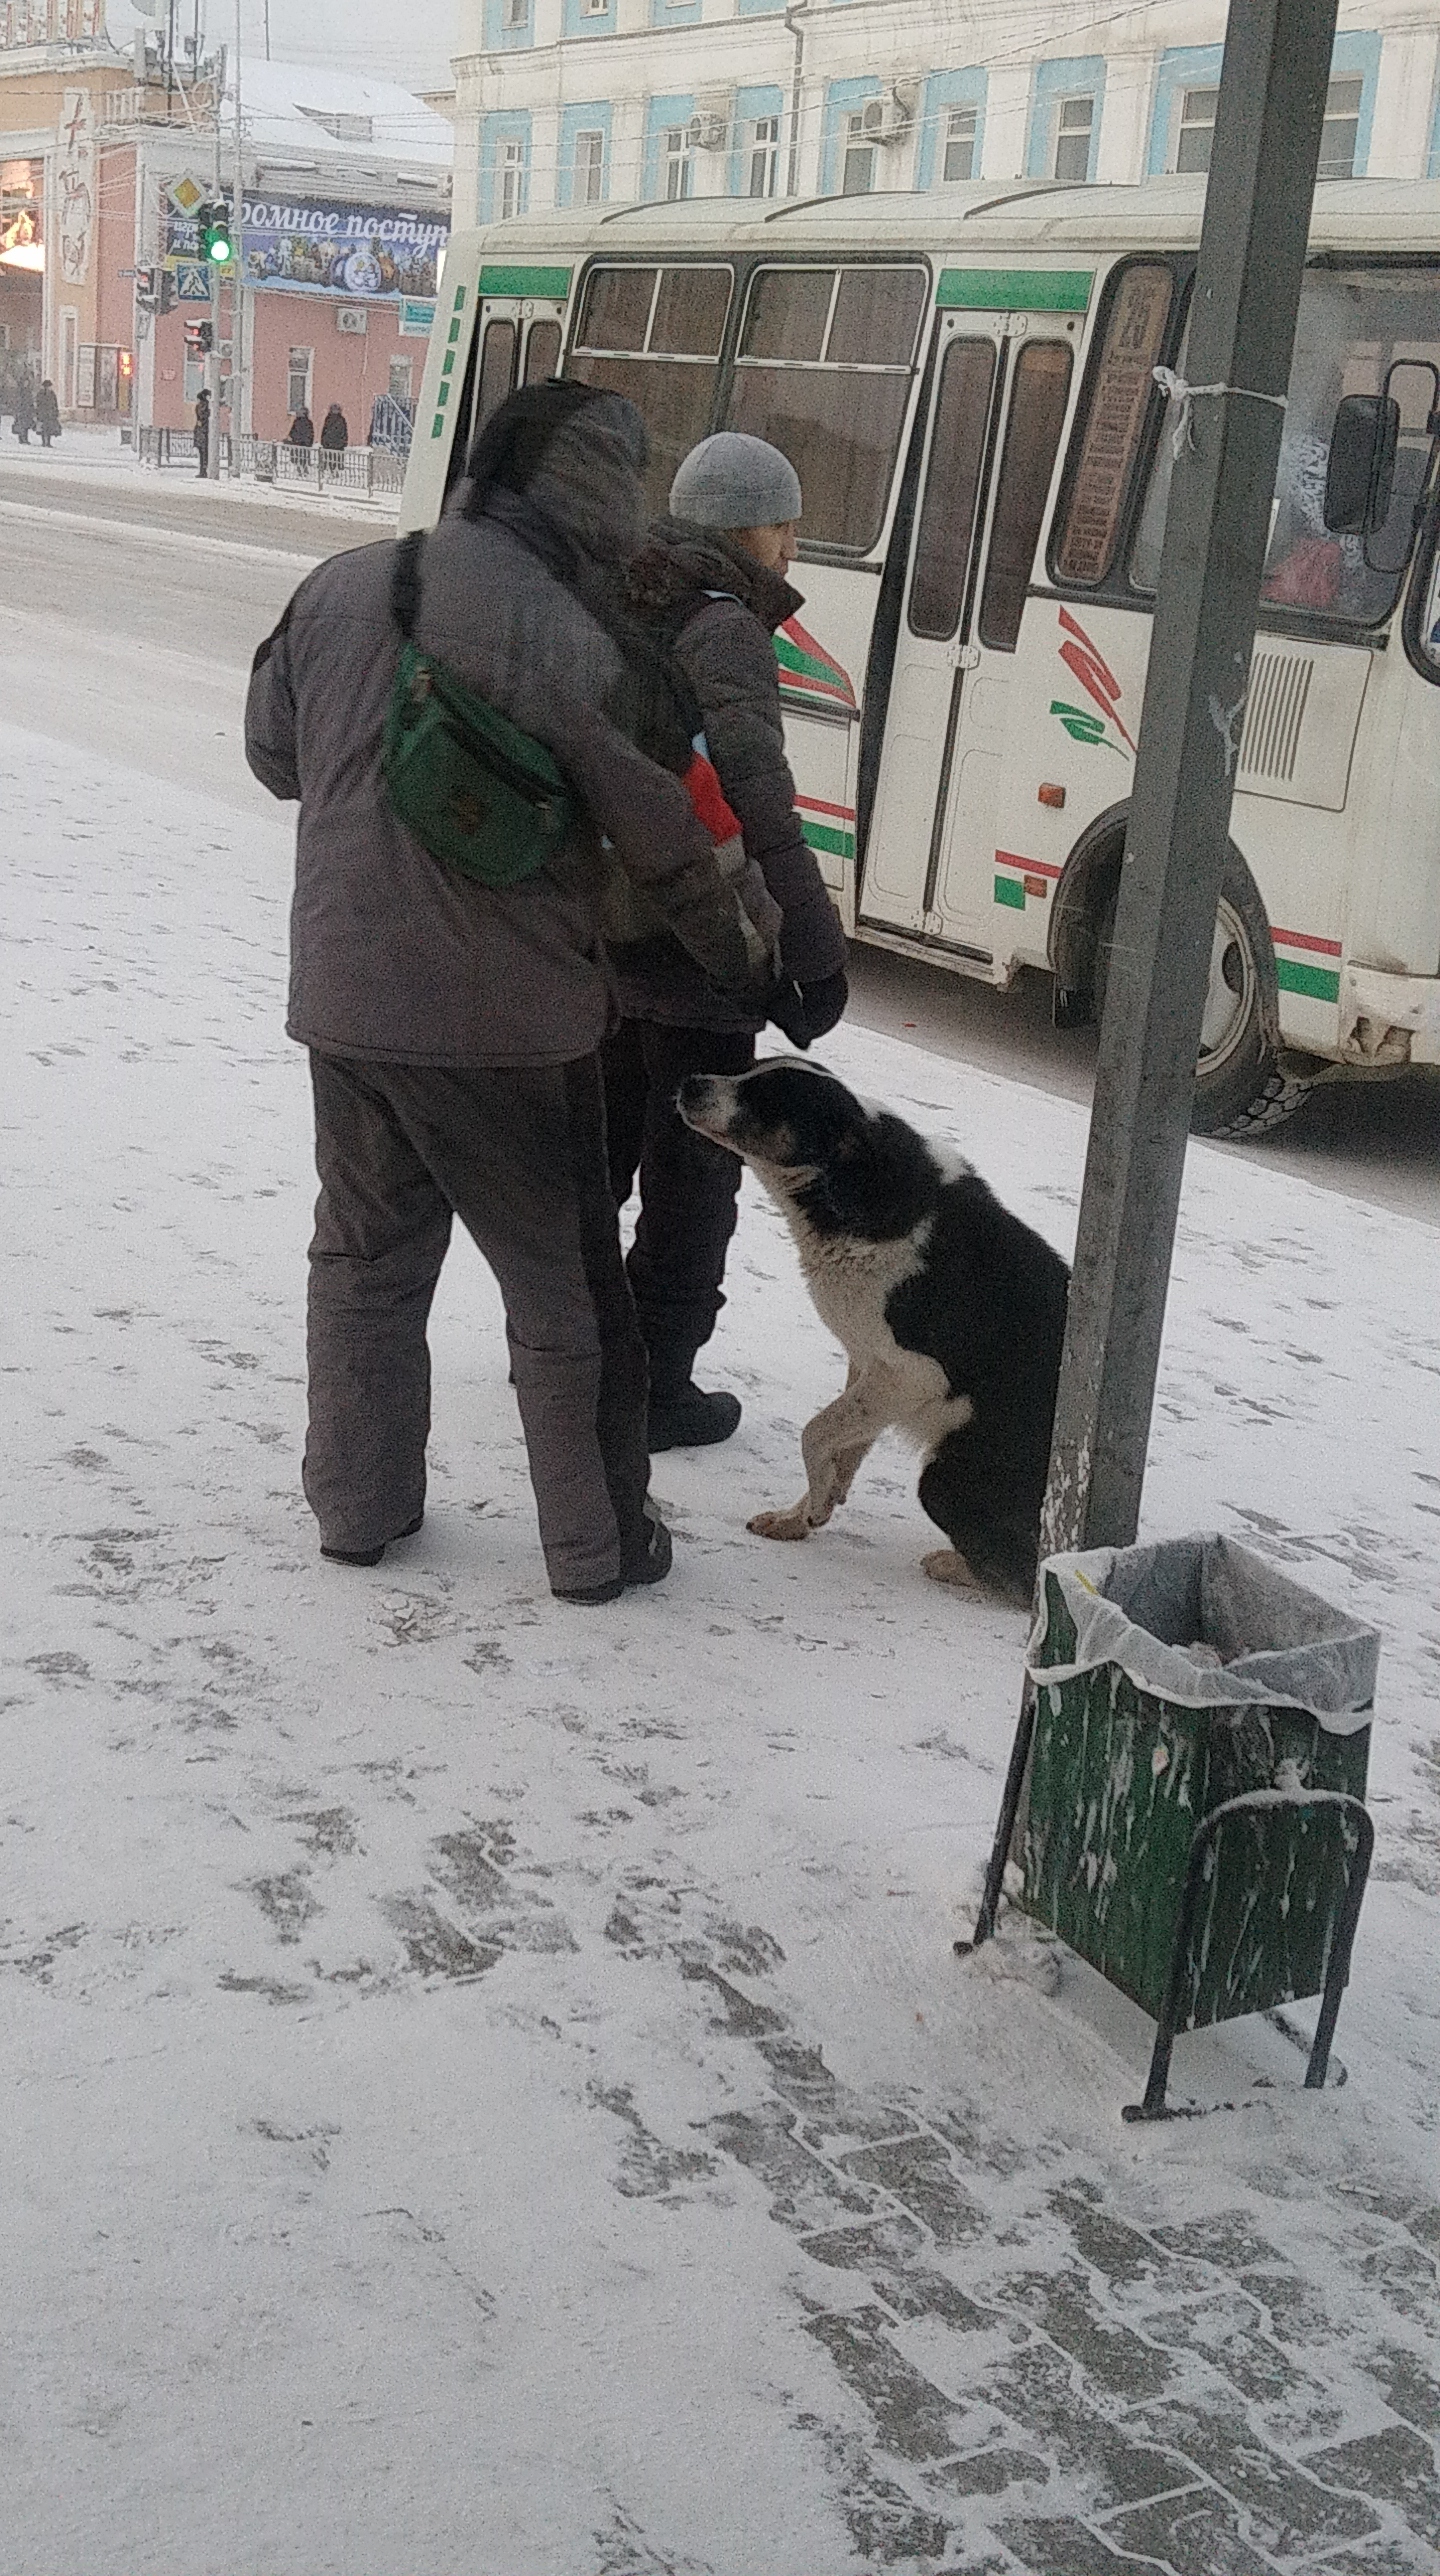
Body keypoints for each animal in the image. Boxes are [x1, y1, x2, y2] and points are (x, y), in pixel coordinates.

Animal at [680, 1061, 1076, 1586]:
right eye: (749, 1071)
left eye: (767, 1096)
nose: (688, 1083)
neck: (848, 1184)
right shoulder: (872, 1369)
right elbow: (841, 1443)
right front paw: (803, 1514)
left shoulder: (913, 1373)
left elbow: (815, 1432)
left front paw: (817, 1503)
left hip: (943, 1480)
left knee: (1023, 1571)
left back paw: (953, 1565)